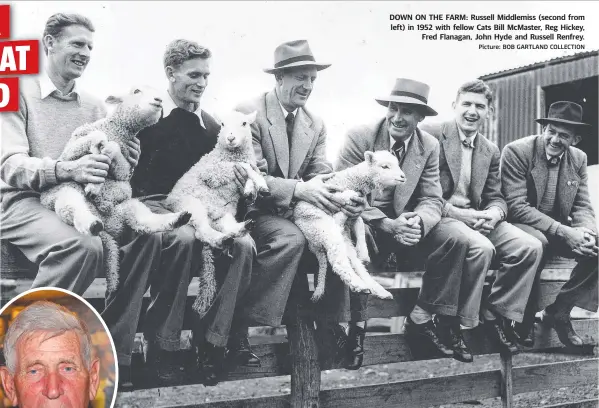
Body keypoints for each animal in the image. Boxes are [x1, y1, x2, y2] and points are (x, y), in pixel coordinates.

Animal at [40, 86, 190, 294]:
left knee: (145, 221)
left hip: (128, 207)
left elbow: (118, 165)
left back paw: (178, 218)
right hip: (68, 190)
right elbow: (92, 141)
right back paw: (91, 223)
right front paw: (99, 149)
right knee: (73, 208)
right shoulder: (72, 148)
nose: (159, 100)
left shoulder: (124, 167)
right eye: (136, 90)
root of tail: (109, 229)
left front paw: (107, 152)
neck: (117, 130)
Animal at [164, 110, 268, 318]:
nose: (230, 138)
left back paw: (241, 228)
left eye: (244, 123)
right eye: (222, 124)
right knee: (201, 231)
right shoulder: (213, 172)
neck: (228, 154)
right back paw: (221, 239)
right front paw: (259, 184)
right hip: (192, 206)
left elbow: (248, 170)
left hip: (223, 214)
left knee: (226, 227)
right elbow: (245, 166)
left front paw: (252, 189)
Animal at [292, 151, 406, 302]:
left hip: (342, 239)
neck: (353, 180)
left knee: (355, 263)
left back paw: (378, 290)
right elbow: (344, 200)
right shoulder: (334, 199)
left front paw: (363, 252)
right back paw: (360, 285)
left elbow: (361, 225)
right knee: (338, 262)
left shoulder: (353, 216)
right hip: (322, 229)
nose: (403, 177)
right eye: (385, 166)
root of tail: (314, 246)